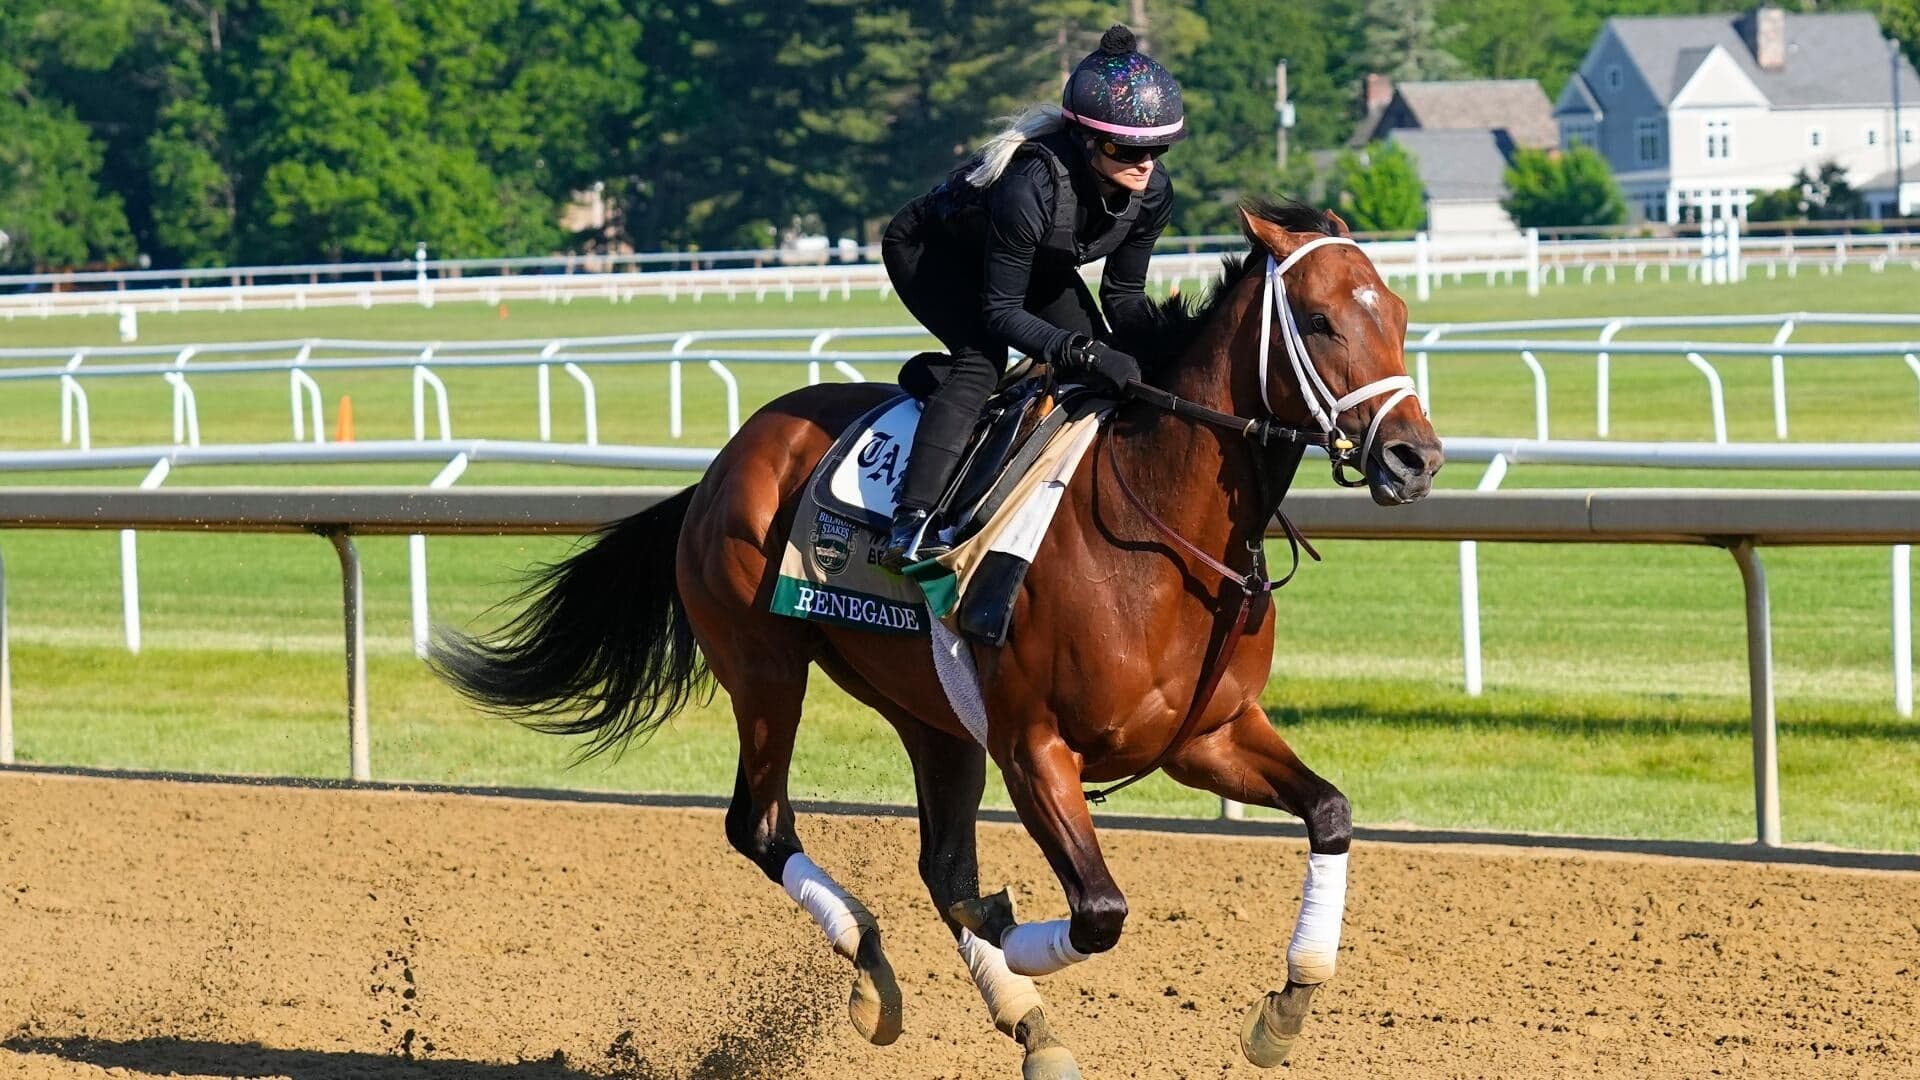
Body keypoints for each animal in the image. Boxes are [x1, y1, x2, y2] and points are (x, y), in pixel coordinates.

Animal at [432, 200, 1443, 1079]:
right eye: (1317, 320)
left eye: (1396, 313)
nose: (1415, 459)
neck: (1155, 528)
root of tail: (724, 461)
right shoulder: (1035, 748)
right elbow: (1098, 910)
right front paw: (1009, 928)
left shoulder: (1205, 736)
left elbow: (1331, 813)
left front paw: (1286, 1008)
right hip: (765, 667)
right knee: (762, 825)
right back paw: (875, 966)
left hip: (930, 713)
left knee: (937, 863)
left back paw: (1027, 1025)